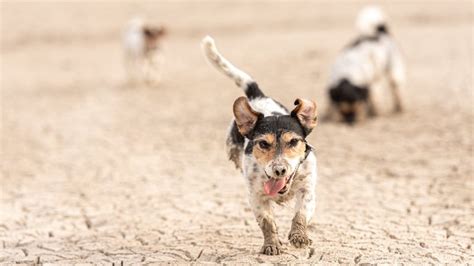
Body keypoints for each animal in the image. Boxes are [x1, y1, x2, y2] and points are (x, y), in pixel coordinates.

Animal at [201, 36, 318, 255]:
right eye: (263, 143)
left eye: (293, 141)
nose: (279, 170)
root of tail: (258, 97)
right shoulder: (256, 196)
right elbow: (267, 222)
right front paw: (271, 245)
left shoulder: (307, 189)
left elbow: (301, 213)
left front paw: (299, 236)